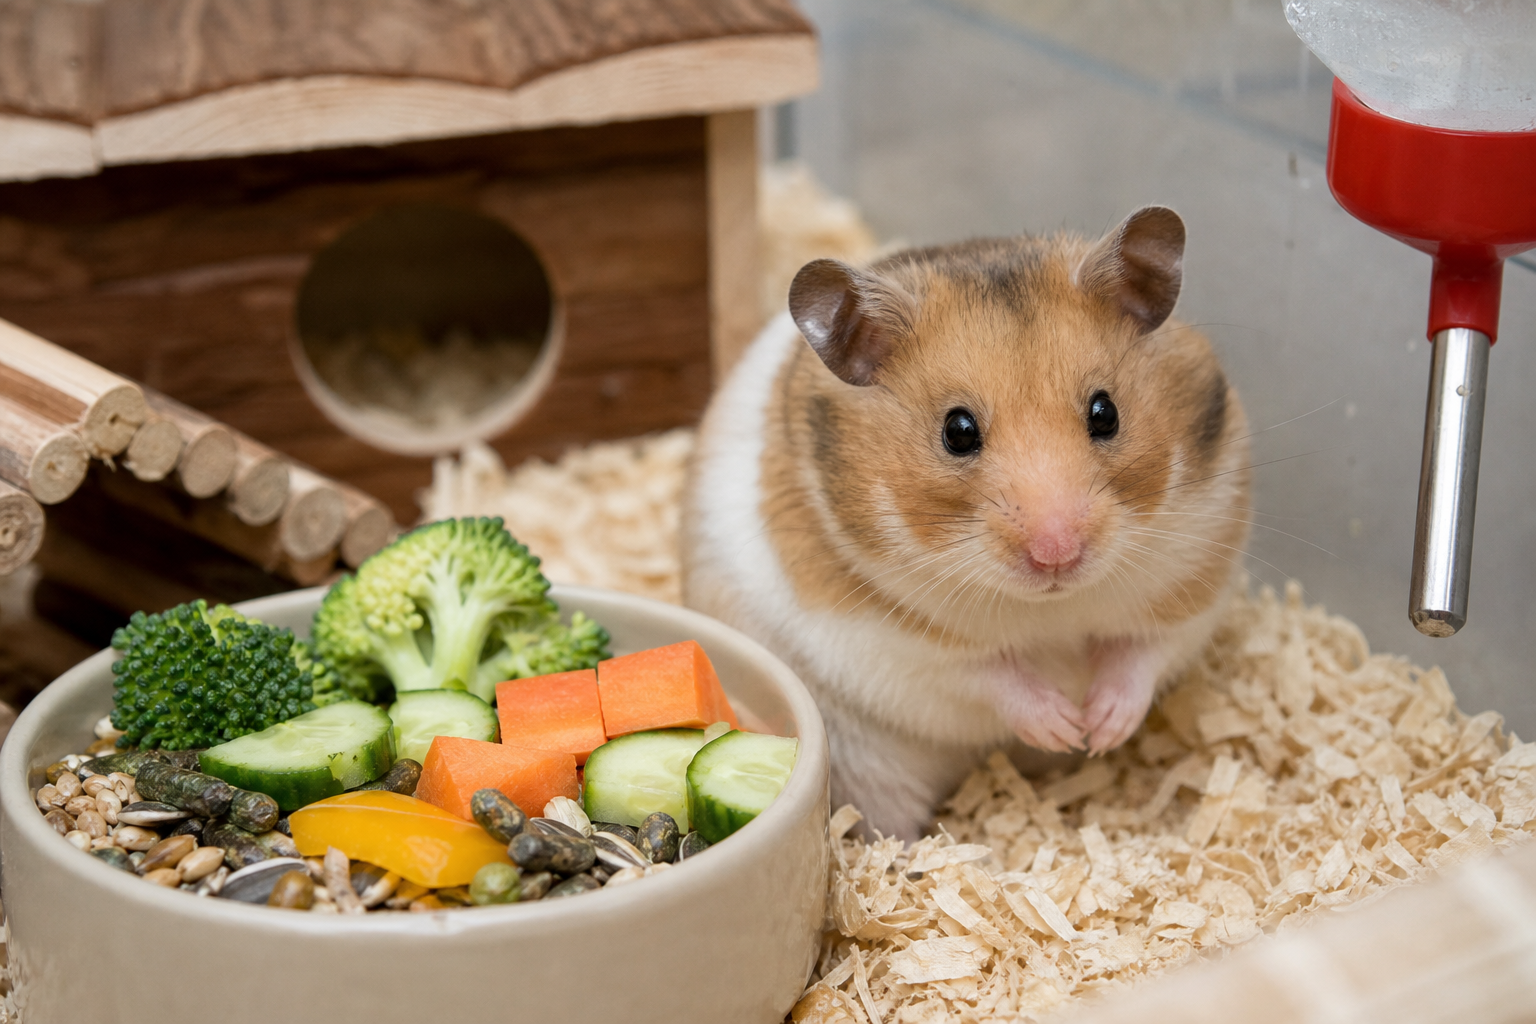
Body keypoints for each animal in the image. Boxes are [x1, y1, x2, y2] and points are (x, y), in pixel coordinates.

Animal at [682, 206, 1251, 840]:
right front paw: (1062, 725)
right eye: (957, 431)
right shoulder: (883, 640)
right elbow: (986, 674)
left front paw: (1100, 730)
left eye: (1105, 413)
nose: (1058, 554)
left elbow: (1142, 655)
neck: (1053, 609)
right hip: (867, 764)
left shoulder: (1197, 575)